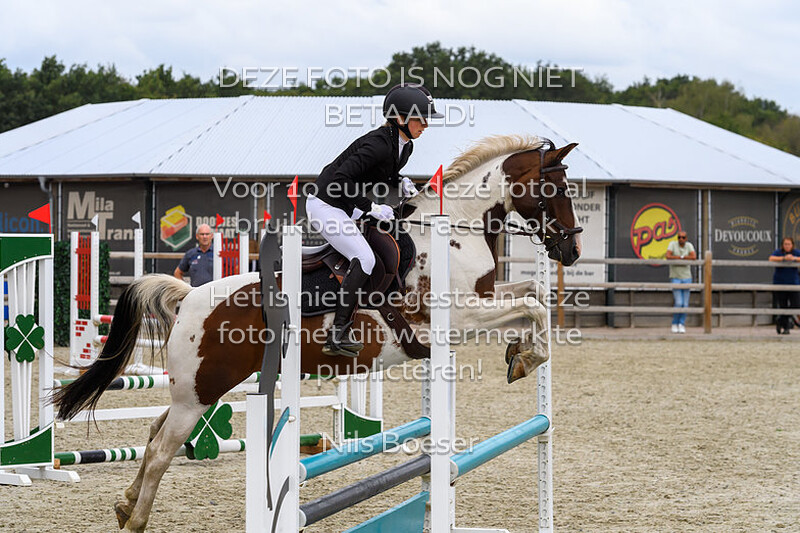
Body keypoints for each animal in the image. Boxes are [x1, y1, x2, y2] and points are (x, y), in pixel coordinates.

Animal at [52, 134, 582, 532]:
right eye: (556, 188)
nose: (572, 251)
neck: (453, 235)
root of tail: (189, 298)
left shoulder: (482, 302)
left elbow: (533, 292)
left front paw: (520, 353)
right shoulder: (460, 318)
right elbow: (532, 305)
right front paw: (525, 357)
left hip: (197, 388)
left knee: (155, 431)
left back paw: (125, 503)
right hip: (200, 390)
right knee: (163, 446)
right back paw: (137, 518)